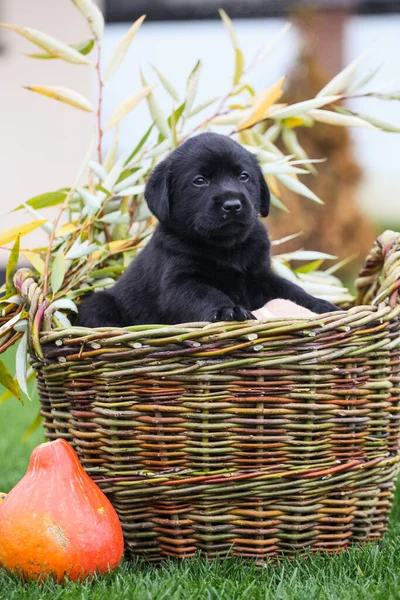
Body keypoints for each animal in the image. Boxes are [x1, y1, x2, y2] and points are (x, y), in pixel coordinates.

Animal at [77, 132, 338, 328]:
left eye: (243, 176)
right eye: (200, 181)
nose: (232, 205)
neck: (227, 247)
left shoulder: (261, 275)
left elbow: (291, 290)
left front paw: (321, 305)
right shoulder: (179, 281)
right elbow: (205, 293)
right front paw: (228, 310)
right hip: (97, 304)